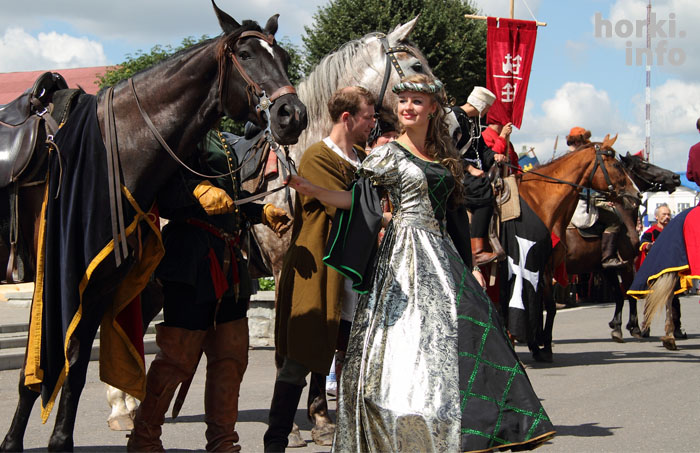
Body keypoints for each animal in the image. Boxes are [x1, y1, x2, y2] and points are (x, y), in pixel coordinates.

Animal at [0, 2, 307, 451]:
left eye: (283, 57)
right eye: (246, 55)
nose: (292, 115)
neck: (119, 144)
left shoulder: (98, 281)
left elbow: (76, 365)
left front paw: (59, 440)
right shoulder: (54, 275)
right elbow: (40, 364)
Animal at [500, 135, 641, 362]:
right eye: (616, 165)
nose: (636, 195)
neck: (540, 202)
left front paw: (537, 345)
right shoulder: (540, 267)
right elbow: (546, 306)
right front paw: (543, 346)